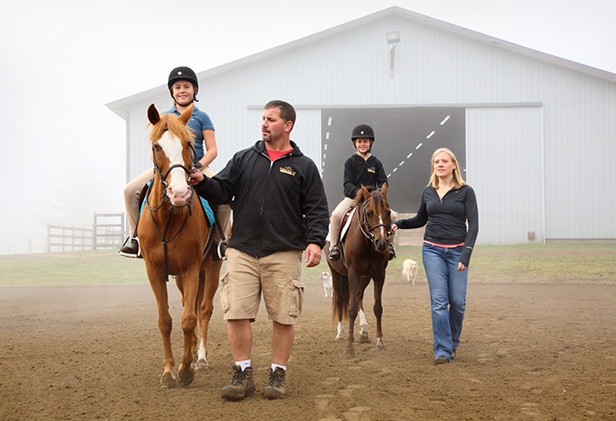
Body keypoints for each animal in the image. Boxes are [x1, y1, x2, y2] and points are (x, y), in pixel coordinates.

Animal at [137, 102, 221, 388]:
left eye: (187, 143)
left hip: (212, 267)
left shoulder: (191, 268)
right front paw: (168, 372)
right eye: (157, 146)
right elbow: (165, 320)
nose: (180, 194)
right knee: (189, 302)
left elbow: (189, 318)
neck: (168, 218)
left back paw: (201, 357)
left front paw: (185, 371)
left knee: (204, 309)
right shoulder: (154, 271)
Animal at [324, 184, 392, 354]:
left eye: (388, 212)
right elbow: (351, 308)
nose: (382, 243)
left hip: (365, 276)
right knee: (341, 298)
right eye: (368, 213)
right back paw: (341, 332)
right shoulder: (353, 273)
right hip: (336, 273)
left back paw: (363, 332)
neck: (368, 243)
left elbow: (377, 307)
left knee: (359, 296)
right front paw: (349, 346)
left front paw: (380, 341)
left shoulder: (379, 274)